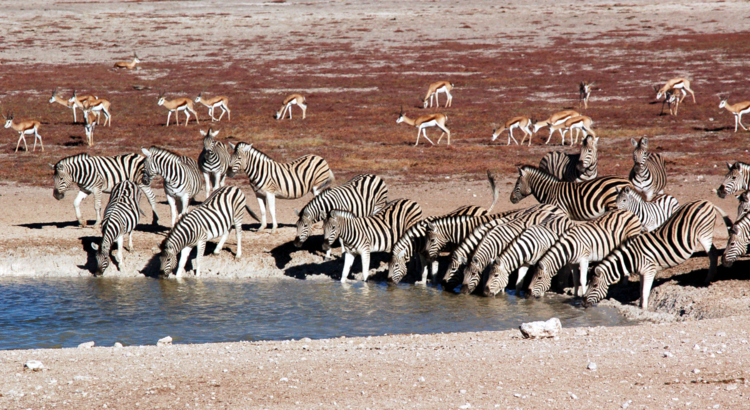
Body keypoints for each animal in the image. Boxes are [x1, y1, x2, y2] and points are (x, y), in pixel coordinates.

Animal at [583, 200, 731, 310]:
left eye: (594, 285)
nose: (583, 303)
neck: (632, 257)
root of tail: (706, 201)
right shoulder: (642, 273)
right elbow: (642, 291)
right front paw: (641, 305)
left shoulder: (650, 270)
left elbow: (645, 292)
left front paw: (644, 309)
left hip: (704, 234)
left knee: (713, 254)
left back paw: (708, 279)